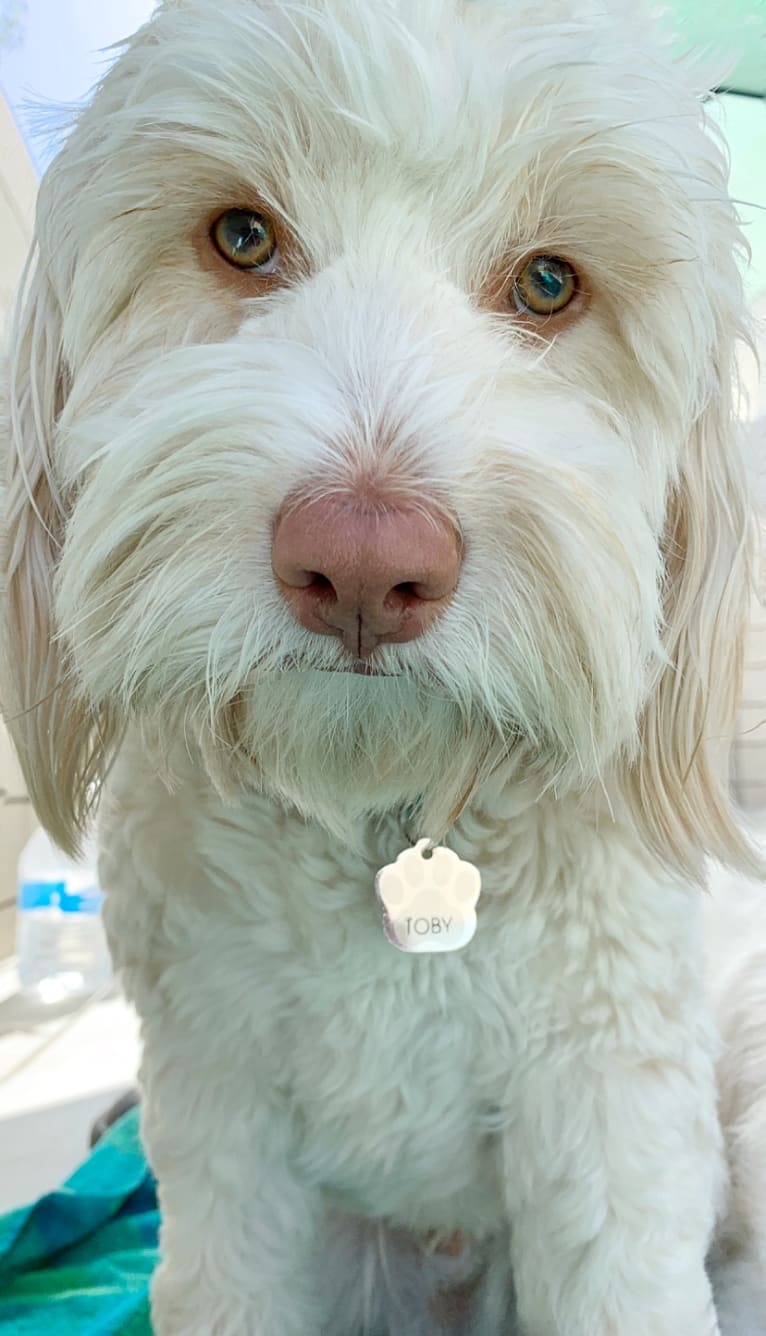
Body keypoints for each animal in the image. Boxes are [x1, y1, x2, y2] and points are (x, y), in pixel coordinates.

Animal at [1, 0, 764, 1330]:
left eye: (549, 282)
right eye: (242, 237)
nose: (362, 564)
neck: (378, 807)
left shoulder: (607, 1107)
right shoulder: (219, 1116)